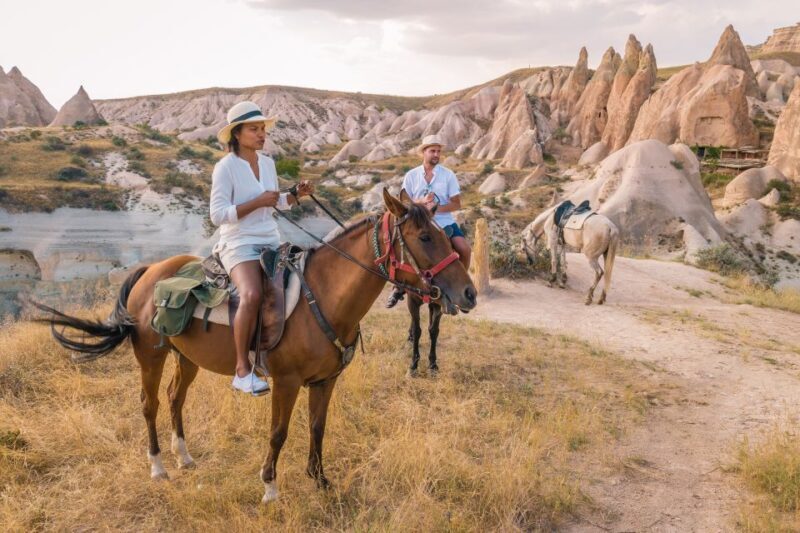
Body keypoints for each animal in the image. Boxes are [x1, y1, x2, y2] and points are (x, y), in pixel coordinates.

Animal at [32, 189, 477, 504]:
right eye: (424, 237)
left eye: (444, 234)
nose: (469, 293)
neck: (323, 298)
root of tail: (149, 271)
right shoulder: (286, 381)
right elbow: (278, 432)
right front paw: (270, 487)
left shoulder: (325, 381)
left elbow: (317, 428)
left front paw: (320, 480)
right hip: (151, 356)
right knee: (150, 404)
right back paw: (158, 466)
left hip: (186, 358)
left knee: (175, 398)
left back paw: (184, 456)